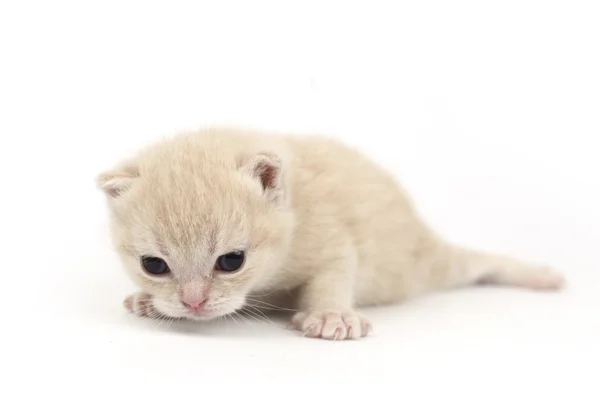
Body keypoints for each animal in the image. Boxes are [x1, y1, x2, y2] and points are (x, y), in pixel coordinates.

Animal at [96, 126, 564, 340]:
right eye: (154, 266)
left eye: (231, 261)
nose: (193, 303)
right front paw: (149, 300)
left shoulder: (332, 239)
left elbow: (334, 274)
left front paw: (330, 315)